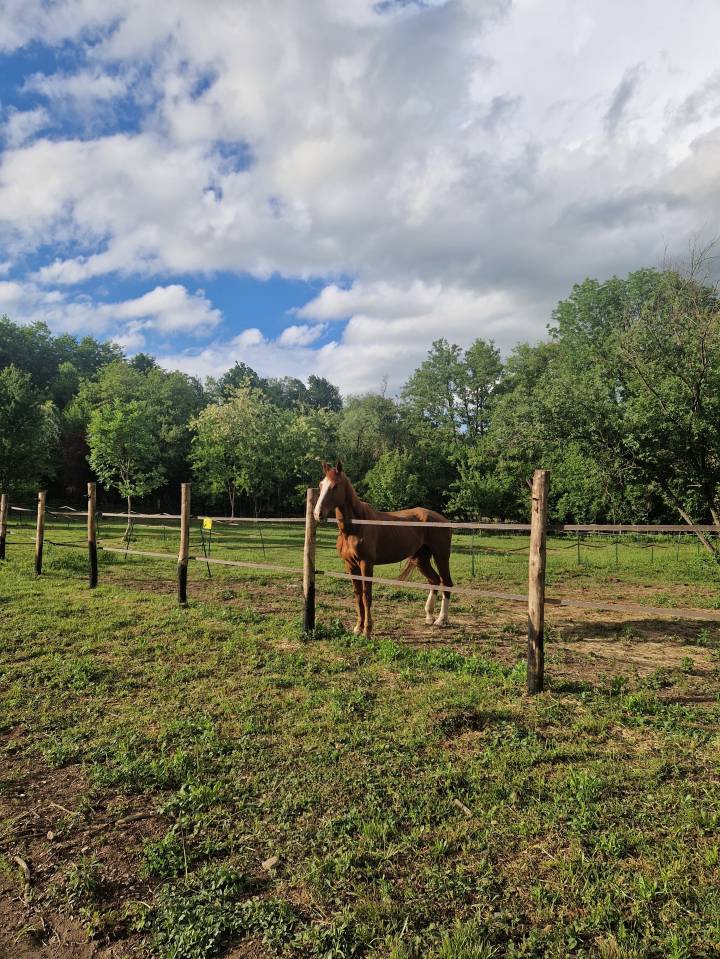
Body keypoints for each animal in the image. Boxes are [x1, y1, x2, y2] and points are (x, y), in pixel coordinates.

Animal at [313, 461, 453, 637]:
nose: (317, 514)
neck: (356, 526)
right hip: (421, 559)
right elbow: (357, 596)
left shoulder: (366, 564)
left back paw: (441, 619)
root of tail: (443, 520)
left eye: (335, 486)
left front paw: (367, 630)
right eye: (321, 485)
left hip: (441, 556)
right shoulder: (350, 565)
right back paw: (429, 617)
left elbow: (366, 596)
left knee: (446, 583)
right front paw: (358, 628)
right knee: (434, 580)